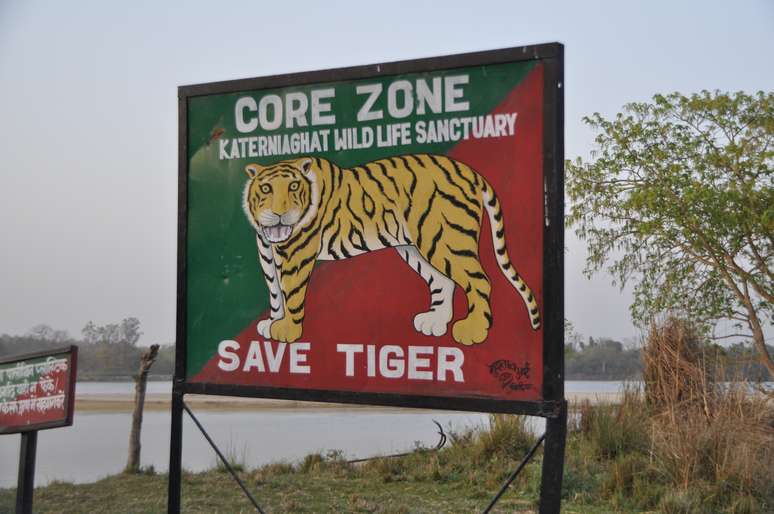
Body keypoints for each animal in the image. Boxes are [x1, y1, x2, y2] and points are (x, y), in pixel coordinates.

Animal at [242, 152, 540, 344]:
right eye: (266, 189)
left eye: (293, 186)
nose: (280, 213)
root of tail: (469, 171)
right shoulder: (266, 251)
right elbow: (275, 290)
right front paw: (272, 322)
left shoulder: (296, 253)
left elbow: (290, 292)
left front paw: (287, 331)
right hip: (417, 246)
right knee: (443, 281)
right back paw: (434, 323)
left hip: (445, 239)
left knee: (480, 281)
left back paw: (473, 331)